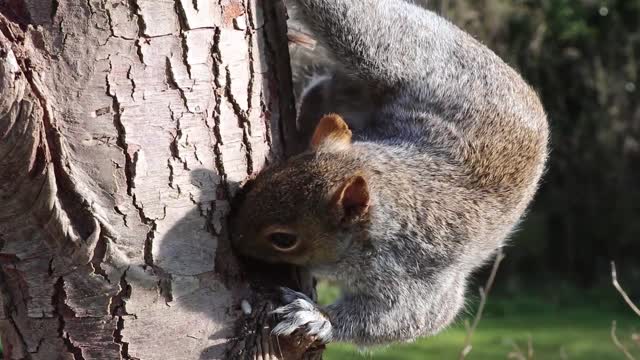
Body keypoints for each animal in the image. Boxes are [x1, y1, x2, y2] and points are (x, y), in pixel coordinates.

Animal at [232, 0, 548, 346]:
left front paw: (316, 317)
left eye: (283, 239)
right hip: (379, 57)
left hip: (388, 52)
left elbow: (406, 319)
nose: (233, 241)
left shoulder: (417, 276)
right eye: (263, 180)